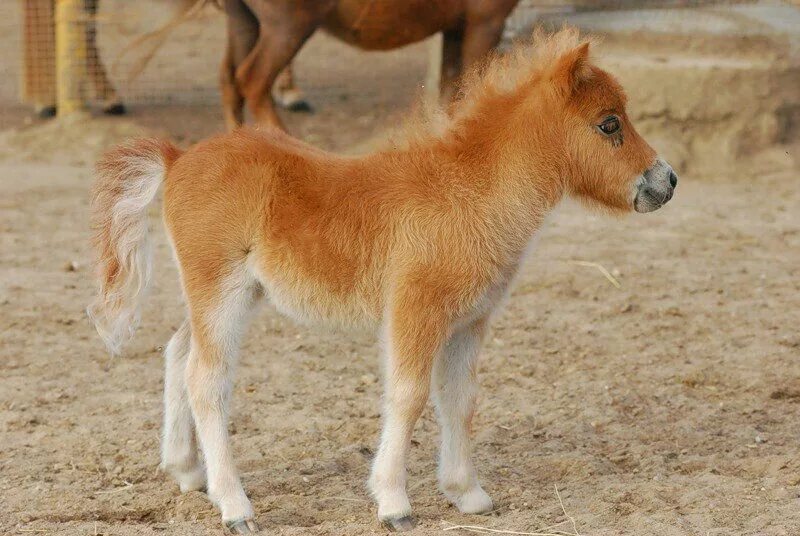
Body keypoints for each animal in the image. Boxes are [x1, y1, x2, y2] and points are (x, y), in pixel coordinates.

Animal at [220, 0, 520, 129]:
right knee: (253, 81)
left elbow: (451, 96)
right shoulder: (485, 23)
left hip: (245, 22)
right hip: (288, 25)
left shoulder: (456, 27)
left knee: (231, 82)